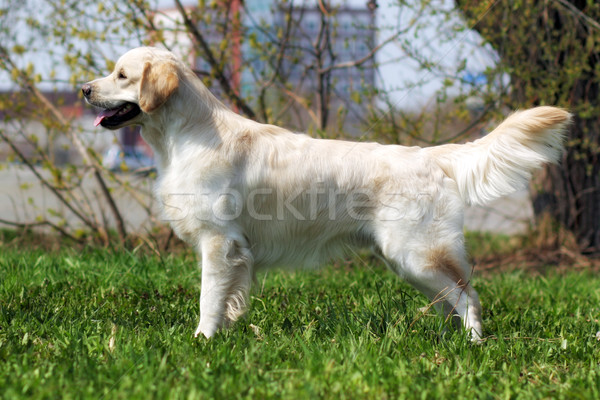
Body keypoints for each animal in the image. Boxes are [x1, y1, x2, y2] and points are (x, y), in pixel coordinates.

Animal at [82, 47, 568, 340]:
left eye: (121, 75)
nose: (84, 89)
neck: (187, 134)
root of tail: (431, 154)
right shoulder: (234, 249)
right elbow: (231, 298)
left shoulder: (219, 241)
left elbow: (209, 297)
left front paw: (203, 340)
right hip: (408, 260)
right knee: (452, 299)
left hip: (417, 252)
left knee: (468, 295)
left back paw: (473, 345)